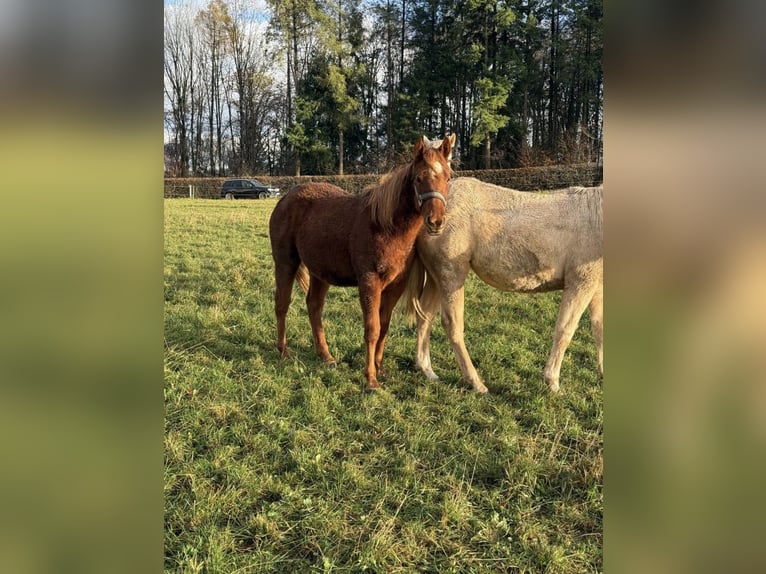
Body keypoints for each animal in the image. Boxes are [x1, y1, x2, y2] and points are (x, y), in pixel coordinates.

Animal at [269, 134, 456, 392]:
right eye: (419, 178)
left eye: (448, 177)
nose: (436, 221)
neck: (386, 226)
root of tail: (285, 198)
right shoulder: (369, 282)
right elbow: (372, 328)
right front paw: (371, 379)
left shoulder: (395, 286)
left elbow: (384, 326)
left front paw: (380, 368)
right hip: (286, 262)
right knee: (282, 304)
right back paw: (283, 351)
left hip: (320, 273)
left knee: (314, 306)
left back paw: (325, 356)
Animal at [404, 177, 603, 394]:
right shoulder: (581, 283)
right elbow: (565, 330)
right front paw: (552, 382)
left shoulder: (597, 287)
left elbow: (599, 329)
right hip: (450, 274)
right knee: (452, 325)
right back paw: (476, 382)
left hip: (435, 277)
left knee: (425, 316)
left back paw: (427, 370)